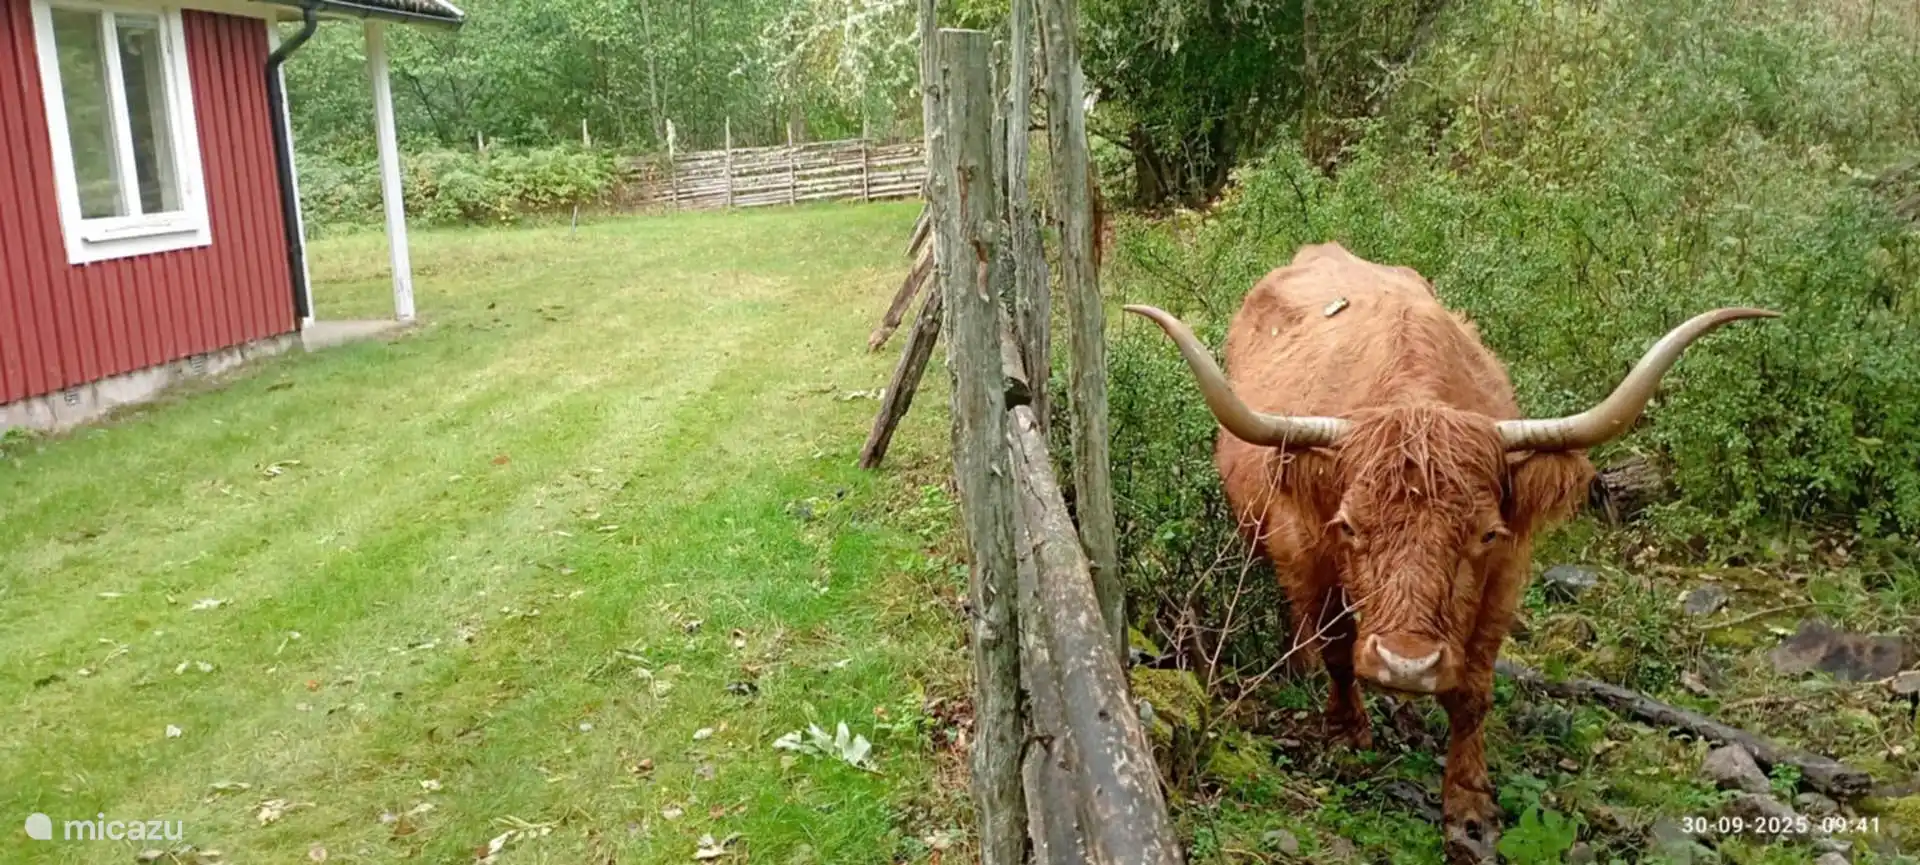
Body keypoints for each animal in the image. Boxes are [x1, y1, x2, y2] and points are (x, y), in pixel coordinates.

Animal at [1123, 243, 1777, 863]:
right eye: (1349, 526)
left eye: (1485, 534)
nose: (1407, 665)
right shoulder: (1306, 552)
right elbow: (1336, 648)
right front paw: (1347, 733)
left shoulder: (1505, 577)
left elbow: (1473, 693)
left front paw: (1468, 805)